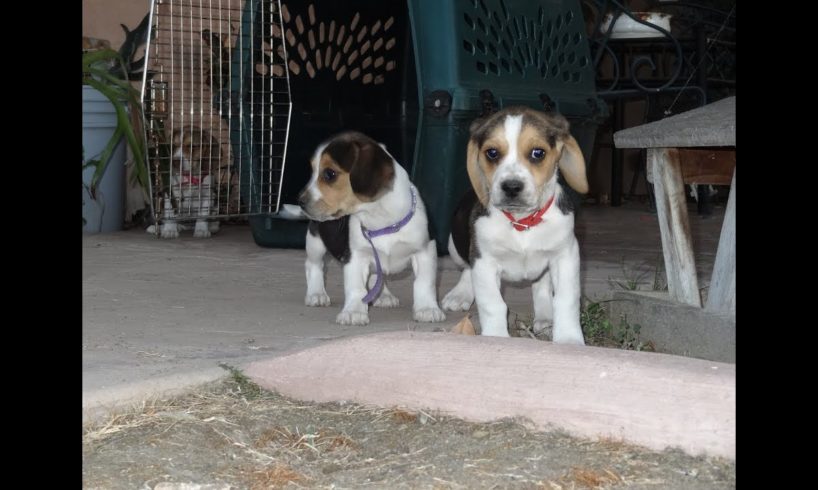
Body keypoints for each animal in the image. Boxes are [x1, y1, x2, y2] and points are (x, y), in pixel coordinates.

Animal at [296, 132, 444, 328]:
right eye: (312, 171)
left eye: (329, 174)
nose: (300, 201)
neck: (380, 220)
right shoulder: (355, 256)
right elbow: (356, 288)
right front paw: (353, 312)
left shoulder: (425, 252)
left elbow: (424, 283)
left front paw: (427, 309)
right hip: (315, 242)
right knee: (314, 265)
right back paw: (316, 293)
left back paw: (384, 295)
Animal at [440, 107, 588, 344]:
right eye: (492, 153)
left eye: (538, 153)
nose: (511, 187)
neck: (521, 222)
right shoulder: (484, 262)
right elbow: (493, 304)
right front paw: (496, 337)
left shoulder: (566, 255)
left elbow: (566, 300)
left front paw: (568, 339)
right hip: (454, 245)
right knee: (466, 268)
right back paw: (459, 294)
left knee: (542, 286)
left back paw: (545, 318)